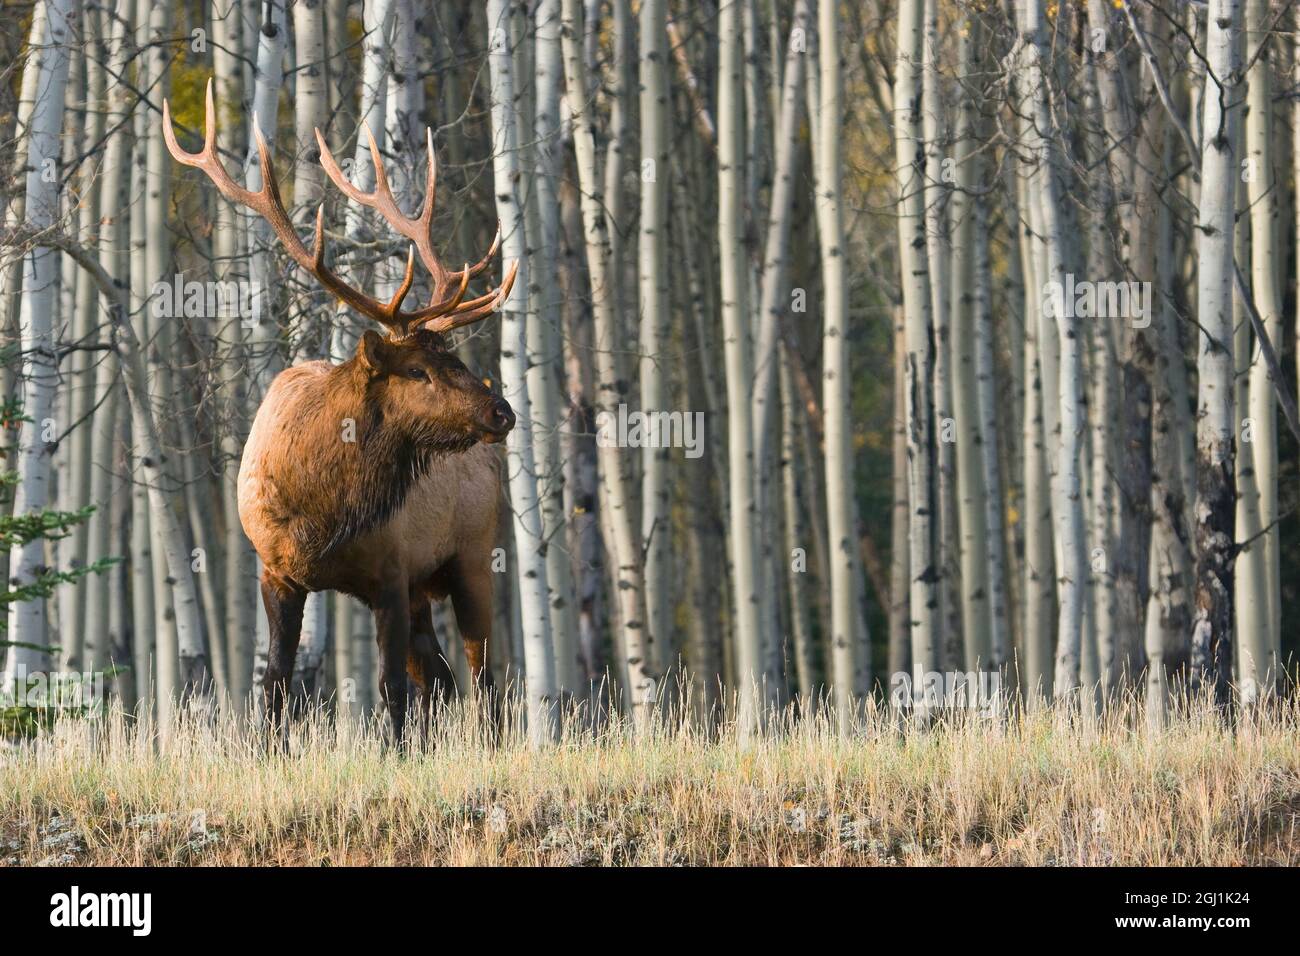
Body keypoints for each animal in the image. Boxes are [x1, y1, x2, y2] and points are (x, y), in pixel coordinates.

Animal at [165, 82, 520, 743]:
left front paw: (396, 755)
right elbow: (276, 685)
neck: (323, 512)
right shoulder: (277, 572)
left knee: (485, 681)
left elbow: (391, 692)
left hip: (473, 556)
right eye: (418, 370)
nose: (501, 411)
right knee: (444, 678)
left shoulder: (391, 572)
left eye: (455, 356)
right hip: (429, 584)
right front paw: (269, 754)